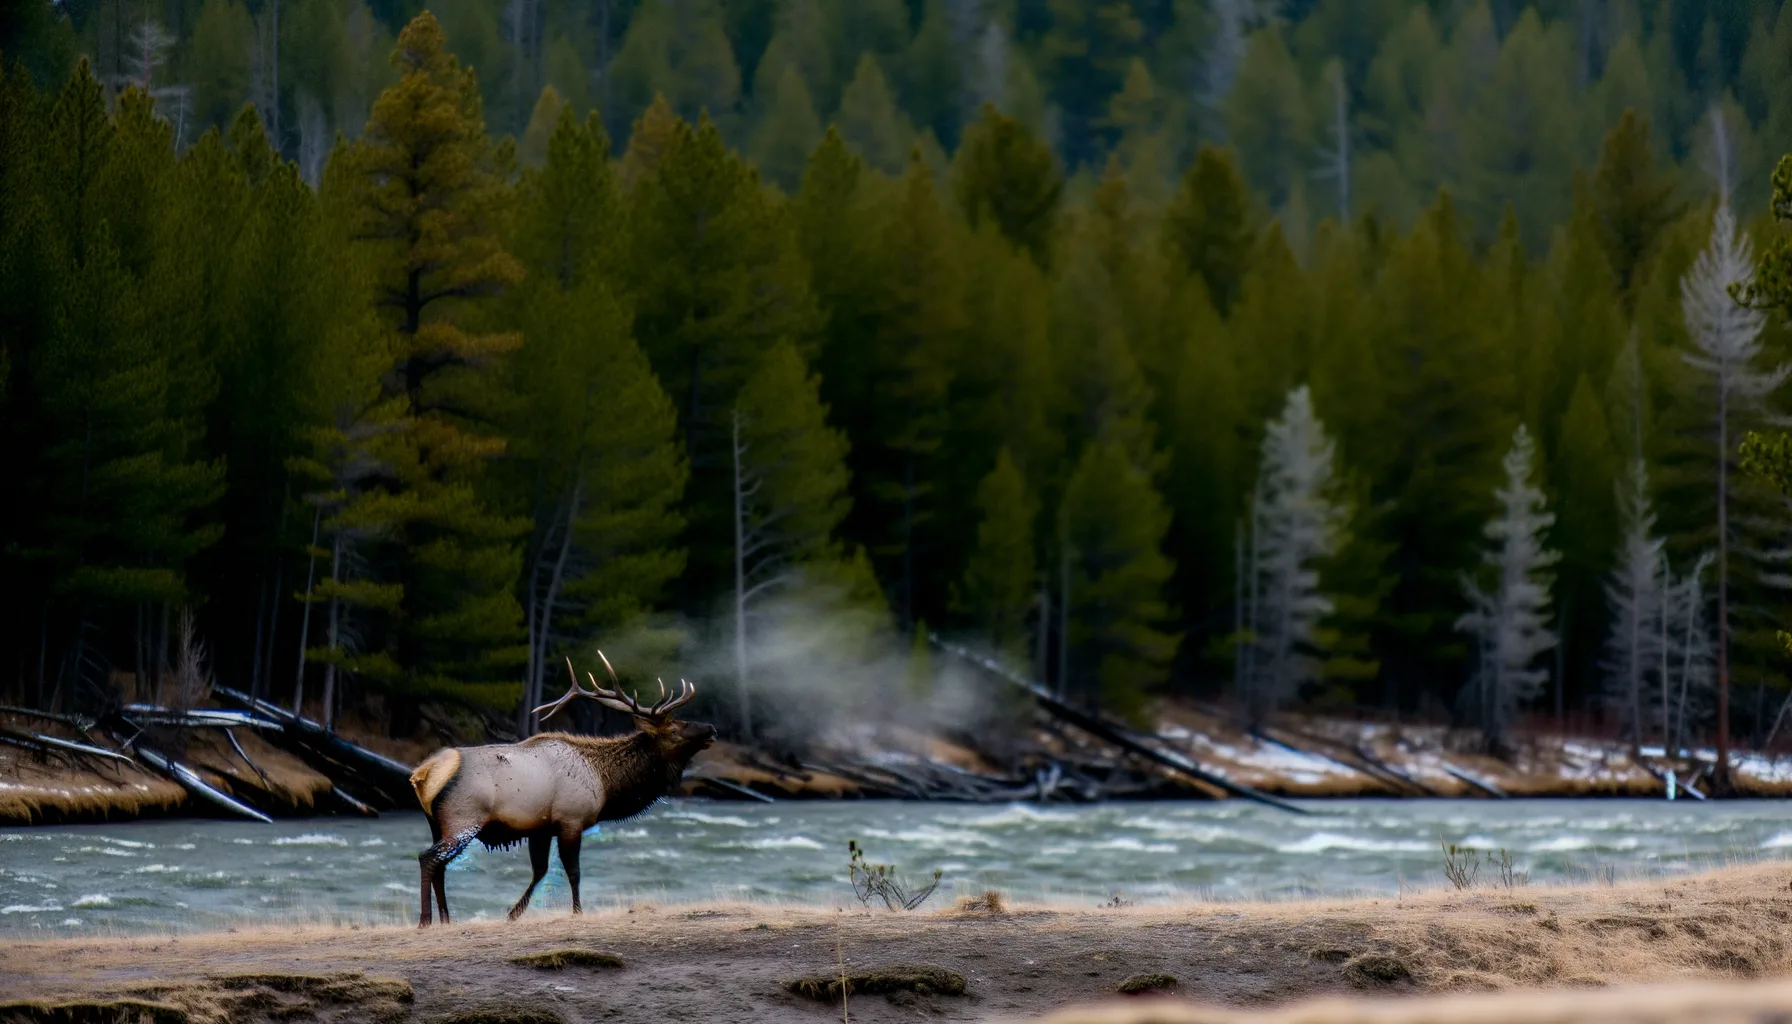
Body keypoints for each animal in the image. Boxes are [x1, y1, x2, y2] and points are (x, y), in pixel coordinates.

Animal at [407, 653, 716, 928]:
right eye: (675, 728)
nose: (711, 729)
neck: (605, 784)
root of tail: (422, 774)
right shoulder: (571, 820)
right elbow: (573, 871)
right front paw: (577, 911)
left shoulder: (541, 828)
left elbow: (539, 871)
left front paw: (512, 914)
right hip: (463, 819)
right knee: (428, 857)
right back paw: (425, 920)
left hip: (437, 823)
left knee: (440, 865)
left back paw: (446, 918)